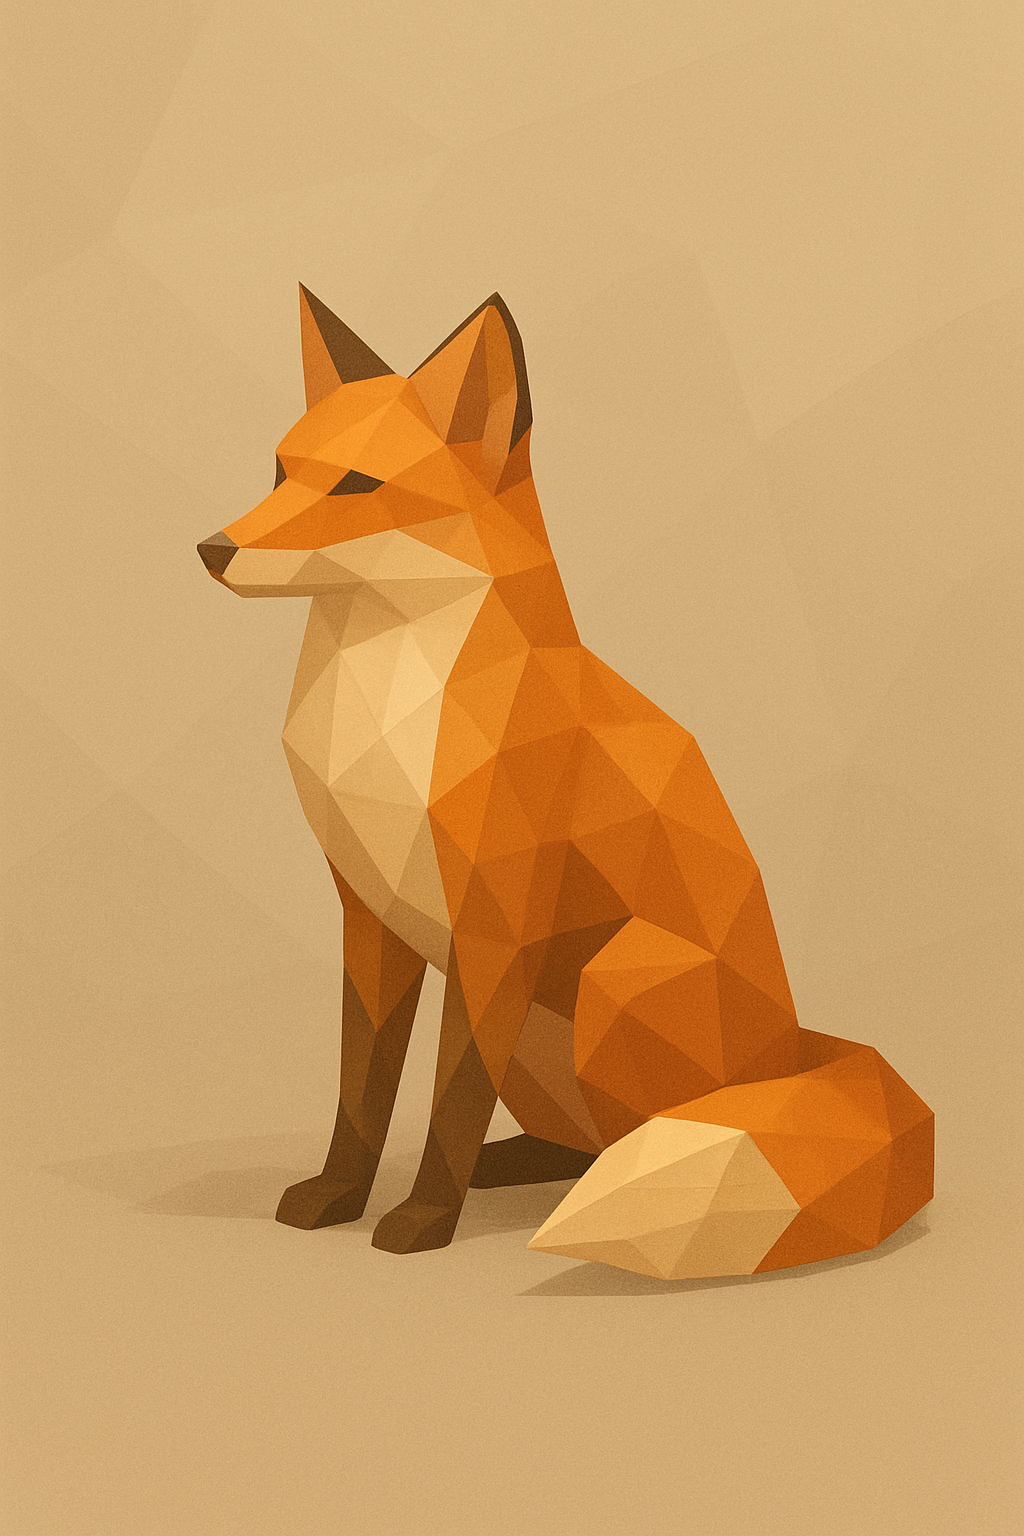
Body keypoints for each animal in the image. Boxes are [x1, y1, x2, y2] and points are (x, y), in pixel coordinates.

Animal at [197, 288, 933, 1280]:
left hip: (604, 985)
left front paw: (422, 1219)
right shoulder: (371, 919)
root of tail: (791, 1051)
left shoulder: (493, 931)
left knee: (644, 1138)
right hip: (544, 1040)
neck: (383, 718)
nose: (212, 549)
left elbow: (449, 1101)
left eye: (355, 486)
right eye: (279, 469)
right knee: (581, 1143)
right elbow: (362, 1092)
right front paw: (337, 1196)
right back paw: (522, 1168)